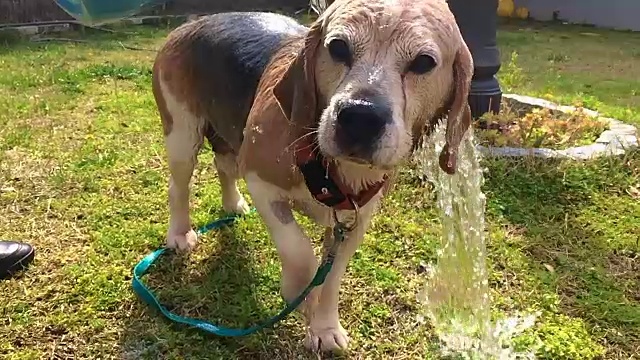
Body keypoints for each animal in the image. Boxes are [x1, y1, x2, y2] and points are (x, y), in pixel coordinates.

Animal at [152, 0, 472, 352]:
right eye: (338, 47)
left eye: (424, 62)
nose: (360, 117)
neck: (327, 168)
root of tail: (190, 24)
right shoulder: (261, 183)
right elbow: (300, 251)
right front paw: (299, 294)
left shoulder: (355, 220)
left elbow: (332, 278)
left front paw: (324, 327)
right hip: (182, 135)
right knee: (178, 188)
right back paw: (180, 234)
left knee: (224, 165)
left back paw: (232, 203)